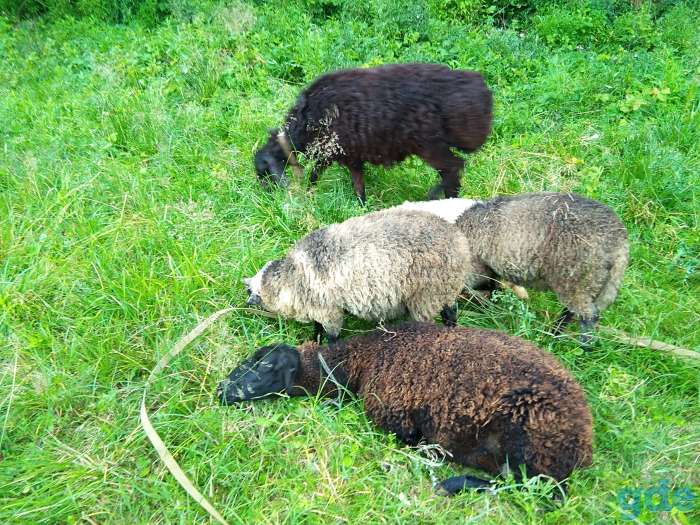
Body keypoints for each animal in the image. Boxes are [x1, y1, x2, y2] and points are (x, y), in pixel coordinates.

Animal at [217, 322, 594, 496]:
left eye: (266, 367)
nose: (223, 391)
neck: (363, 359)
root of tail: (583, 446)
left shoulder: (394, 418)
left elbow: (410, 438)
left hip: (526, 438)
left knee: (542, 491)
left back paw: (452, 482)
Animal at [243, 209, 471, 343]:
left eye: (251, 291)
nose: (246, 303)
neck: (290, 279)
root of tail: (460, 242)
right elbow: (317, 327)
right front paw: (314, 339)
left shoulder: (328, 310)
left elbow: (332, 334)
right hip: (445, 289)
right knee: (451, 312)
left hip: (427, 295)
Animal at [253, 63, 493, 204]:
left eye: (264, 173)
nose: (267, 202)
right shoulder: (349, 156)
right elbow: (356, 185)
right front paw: (361, 208)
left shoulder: (332, 152)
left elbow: (315, 175)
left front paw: (311, 196)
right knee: (453, 170)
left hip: (429, 145)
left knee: (453, 167)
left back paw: (437, 198)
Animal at [395, 192, 629, 345]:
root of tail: (620, 243)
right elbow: (494, 287)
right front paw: (492, 308)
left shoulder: (468, 270)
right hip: (590, 281)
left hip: (576, 277)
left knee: (586, 315)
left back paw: (561, 340)